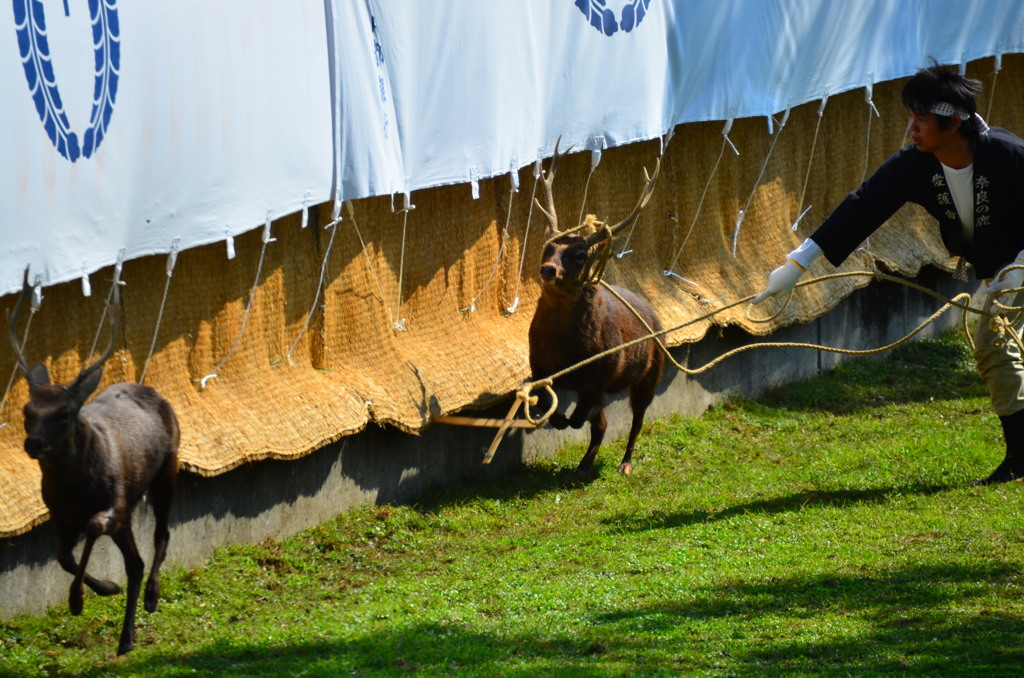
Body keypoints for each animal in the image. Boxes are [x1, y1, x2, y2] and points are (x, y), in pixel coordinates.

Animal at [7, 270, 180, 659]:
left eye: (65, 412)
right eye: (27, 410)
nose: (33, 443)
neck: (75, 491)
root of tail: (155, 391)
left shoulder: (114, 503)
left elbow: (92, 528)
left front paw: (78, 600)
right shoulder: (57, 513)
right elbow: (62, 557)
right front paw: (105, 588)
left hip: (167, 468)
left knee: (161, 534)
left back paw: (151, 599)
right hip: (132, 510)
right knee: (135, 562)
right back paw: (127, 636)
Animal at [528, 140, 663, 475]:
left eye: (580, 255)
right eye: (548, 247)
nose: (548, 269)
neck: (565, 352)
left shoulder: (604, 371)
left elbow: (582, 417)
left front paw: (570, 420)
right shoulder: (538, 364)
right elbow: (552, 408)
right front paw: (557, 419)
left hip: (652, 371)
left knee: (637, 419)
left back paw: (625, 464)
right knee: (601, 425)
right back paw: (584, 464)